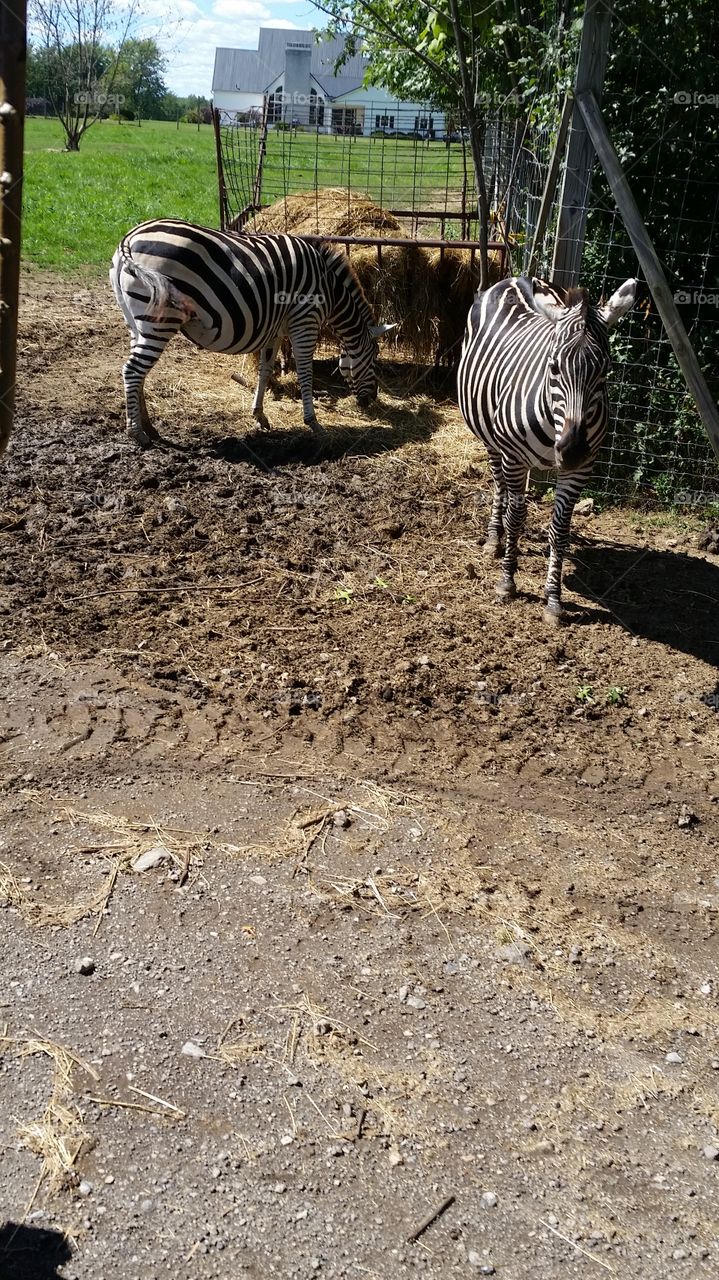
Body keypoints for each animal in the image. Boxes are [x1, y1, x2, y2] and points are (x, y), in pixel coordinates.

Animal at [109, 218, 393, 445]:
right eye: (374, 358)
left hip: (136, 321)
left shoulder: (276, 330)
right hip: (159, 321)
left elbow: (265, 371)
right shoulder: (305, 321)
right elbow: (305, 373)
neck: (330, 290)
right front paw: (313, 423)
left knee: (139, 373)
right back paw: (137, 433)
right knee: (133, 371)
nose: (371, 400)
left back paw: (149, 427)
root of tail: (130, 238)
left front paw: (260, 416)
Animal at [457, 273, 637, 623]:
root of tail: (516, 278)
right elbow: (516, 517)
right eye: (553, 367)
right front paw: (507, 582)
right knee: (499, 487)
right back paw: (494, 539)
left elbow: (560, 530)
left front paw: (553, 599)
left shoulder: (580, 470)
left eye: (605, 371)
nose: (572, 450)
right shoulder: (514, 458)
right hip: (492, 441)